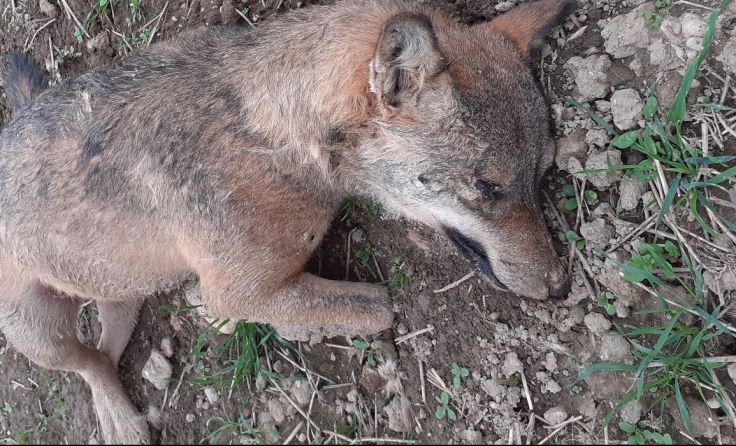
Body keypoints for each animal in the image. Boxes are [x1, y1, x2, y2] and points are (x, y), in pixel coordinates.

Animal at [0, 0, 574, 442]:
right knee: (89, 364)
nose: (561, 287)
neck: (275, 134)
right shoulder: (236, 290)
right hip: (39, 334)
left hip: (120, 291)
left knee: (104, 351)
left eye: (544, 174)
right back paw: (122, 421)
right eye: (489, 187)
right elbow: (380, 306)